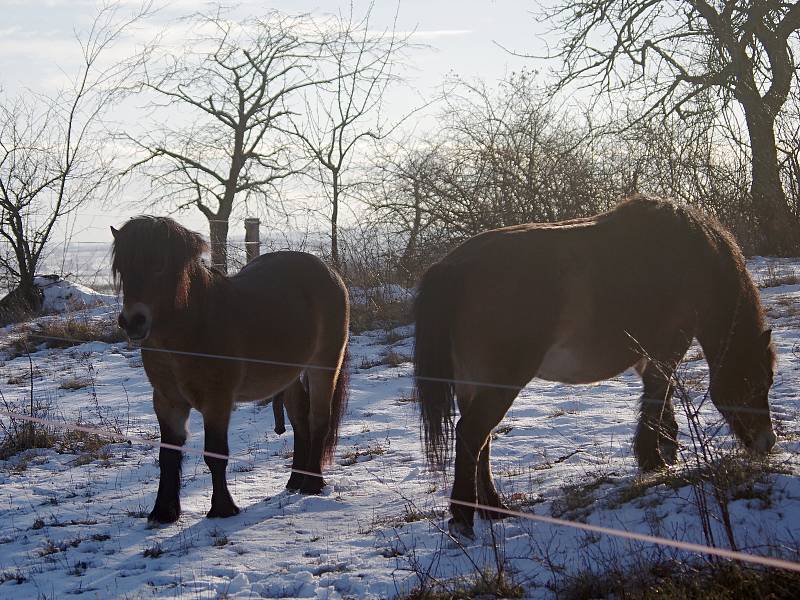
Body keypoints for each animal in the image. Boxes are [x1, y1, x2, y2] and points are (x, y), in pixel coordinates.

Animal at [111, 218, 346, 524]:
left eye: (159, 264)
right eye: (122, 268)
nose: (133, 322)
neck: (193, 329)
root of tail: (328, 271)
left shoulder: (217, 401)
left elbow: (215, 454)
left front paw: (223, 509)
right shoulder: (167, 401)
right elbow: (168, 456)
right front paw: (163, 512)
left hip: (323, 365)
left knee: (318, 419)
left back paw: (312, 484)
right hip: (290, 376)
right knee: (300, 421)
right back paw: (295, 480)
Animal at [416, 196, 780, 540]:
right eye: (755, 381)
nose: (767, 443)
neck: (691, 261)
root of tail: (453, 267)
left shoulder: (647, 357)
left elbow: (662, 398)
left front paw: (665, 451)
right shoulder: (666, 348)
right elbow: (657, 396)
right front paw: (653, 460)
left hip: (473, 385)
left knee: (482, 440)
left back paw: (494, 509)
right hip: (501, 383)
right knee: (472, 434)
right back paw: (464, 520)